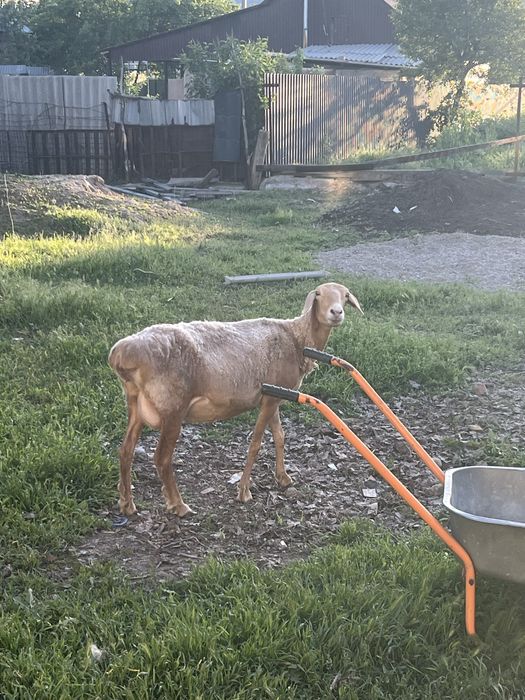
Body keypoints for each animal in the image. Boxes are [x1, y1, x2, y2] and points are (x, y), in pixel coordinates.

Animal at [108, 282, 362, 517]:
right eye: (318, 294)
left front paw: (283, 477)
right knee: (161, 458)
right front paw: (243, 491)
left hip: (135, 404)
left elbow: (280, 436)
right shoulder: (270, 398)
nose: (336, 312)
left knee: (126, 451)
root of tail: (121, 353)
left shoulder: (273, 397)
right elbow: (256, 444)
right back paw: (178, 505)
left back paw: (127, 504)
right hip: (173, 406)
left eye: (345, 295)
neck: (296, 337)